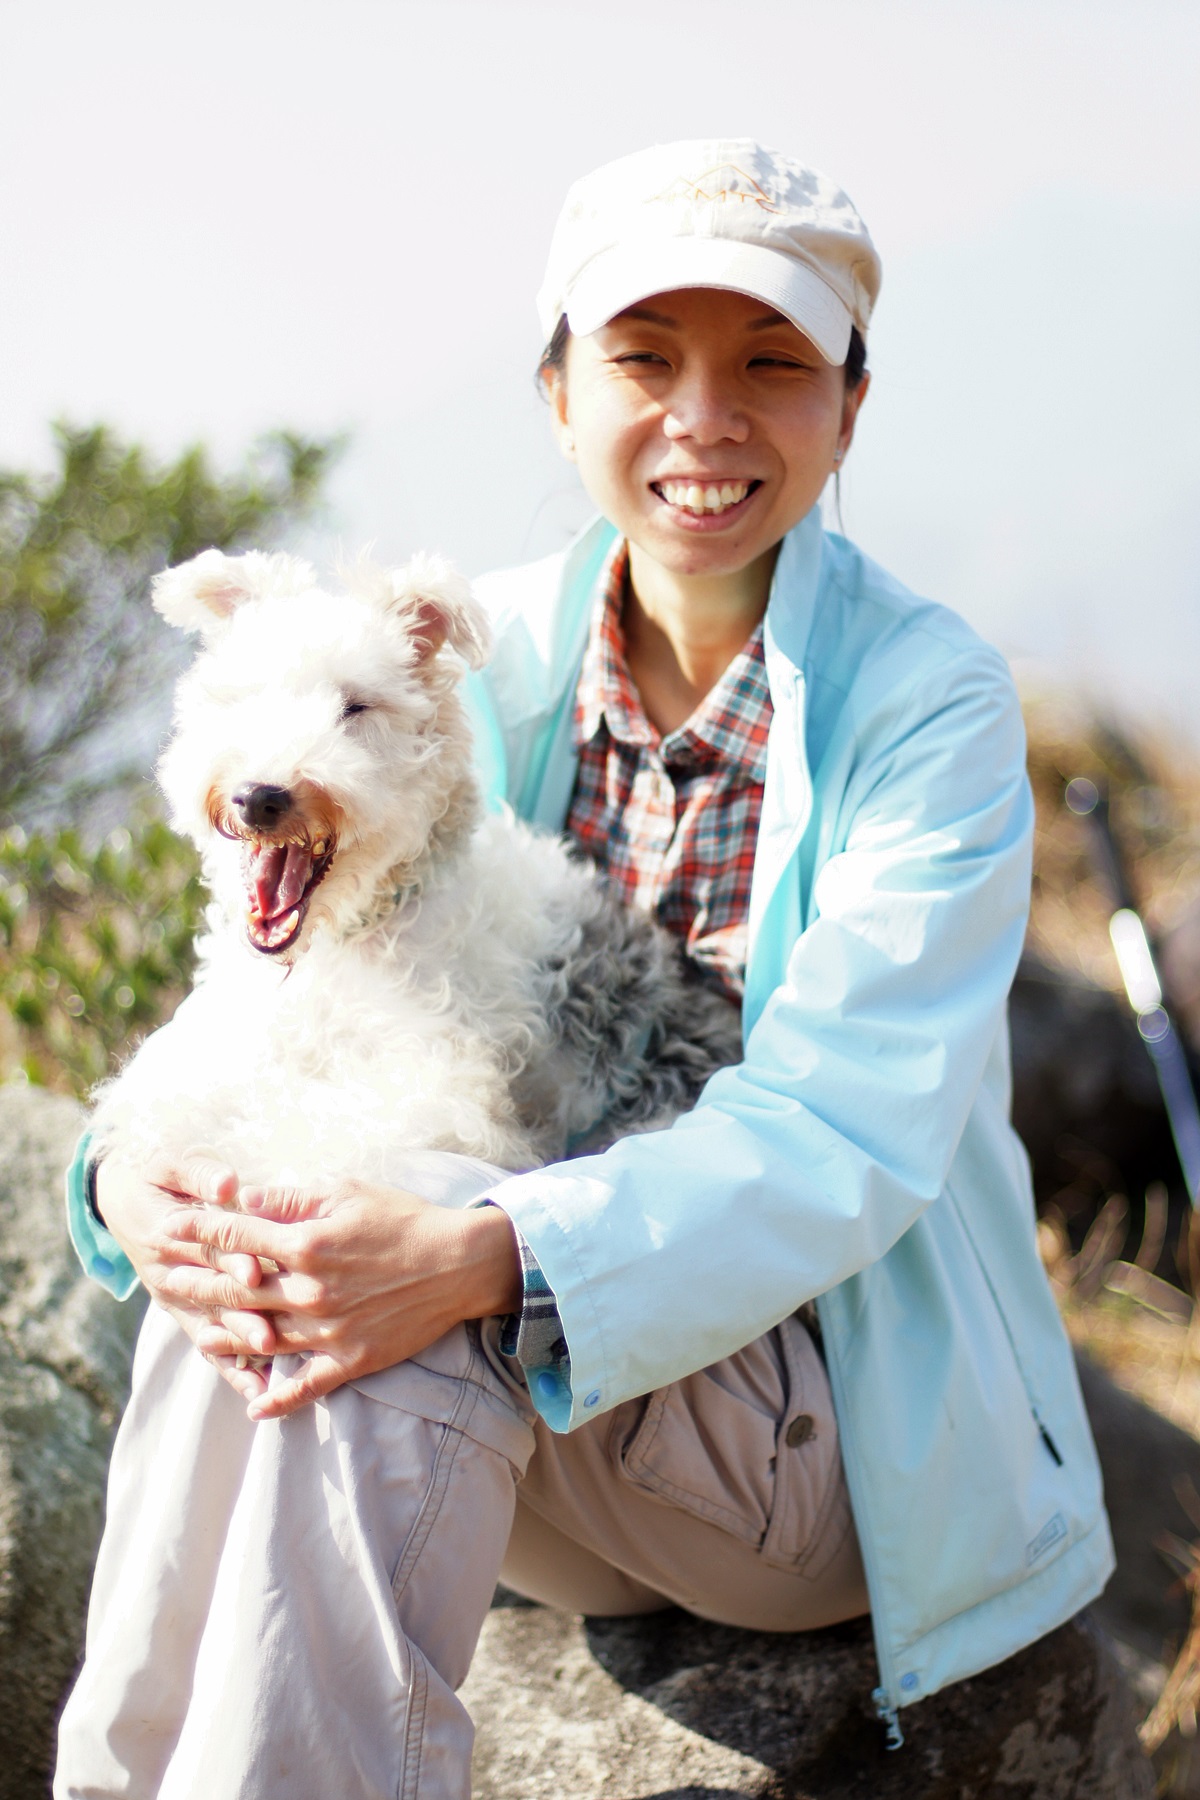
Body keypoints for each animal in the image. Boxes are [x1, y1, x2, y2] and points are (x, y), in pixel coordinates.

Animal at [89, 549, 742, 1204]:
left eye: (356, 707)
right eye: (246, 697)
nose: (260, 797)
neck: (346, 942)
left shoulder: (438, 1085)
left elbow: (296, 1136)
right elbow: (174, 1089)